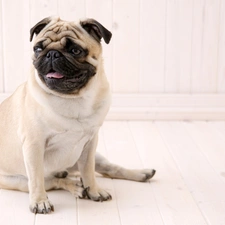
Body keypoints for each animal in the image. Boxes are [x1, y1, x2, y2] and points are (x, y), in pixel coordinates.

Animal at [0, 16, 155, 214]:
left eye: (75, 50)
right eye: (38, 49)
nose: (52, 54)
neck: (73, 98)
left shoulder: (90, 144)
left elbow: (88, 172)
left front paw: (94, 190)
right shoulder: (33, 145)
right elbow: (36, 180)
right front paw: (40, 201)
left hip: (96, 156)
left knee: (109, 168)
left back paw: (141, 173)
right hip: (18, 180)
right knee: (54, 180)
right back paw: (75, 186)